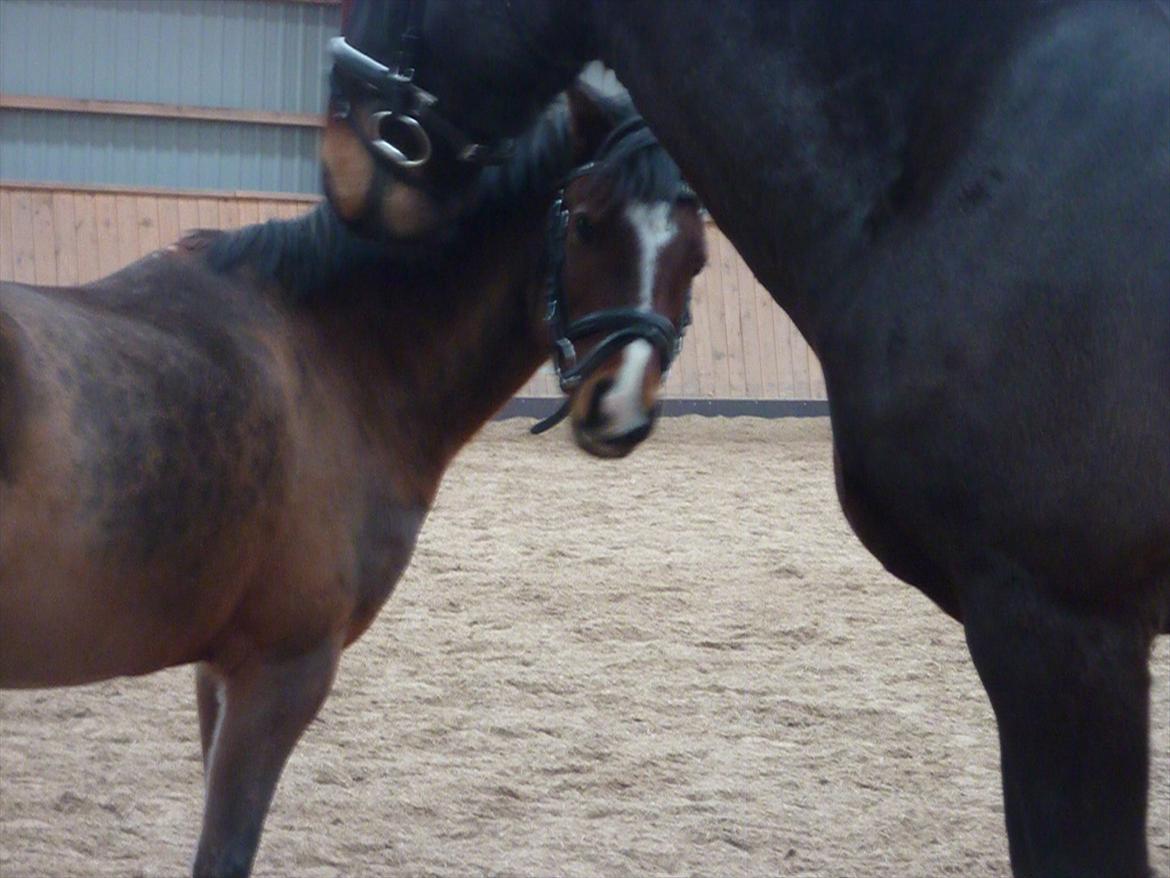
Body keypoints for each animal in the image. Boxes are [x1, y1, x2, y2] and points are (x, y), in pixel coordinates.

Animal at [0, 83, 706, 878]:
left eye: (698, 258)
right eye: (584, 225)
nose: (620, 406)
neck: (331, 353)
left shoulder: (221, 667)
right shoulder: (283, 668)